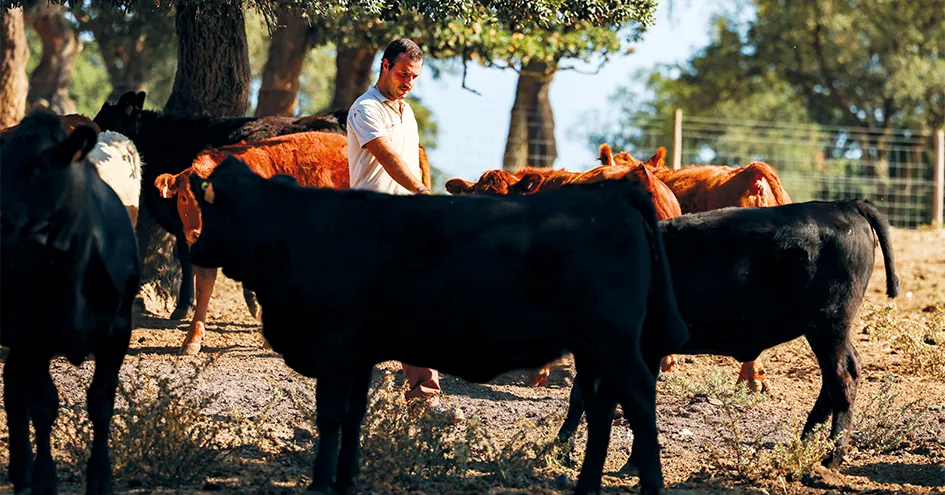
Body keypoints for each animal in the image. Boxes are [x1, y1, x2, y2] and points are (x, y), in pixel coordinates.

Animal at [0, 110, 139, 494]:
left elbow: (102, 402)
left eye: (38, 168)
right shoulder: (33, 335)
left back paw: (20, 473)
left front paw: (101, 479)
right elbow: (45, 405)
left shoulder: (118, 331)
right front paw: (45, 480)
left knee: (12, 386)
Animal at [186, 155, 688, 495]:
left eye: (213, 207)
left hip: (615, 343)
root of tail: (627, 191)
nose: (194, 250)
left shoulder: (336, 348)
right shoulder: (358, 355)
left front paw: (321, 484)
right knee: (602, 407)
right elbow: (352, 417)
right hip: (597, 348)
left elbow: (330, 417)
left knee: (636, 399)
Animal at [558, 198, 899, 475]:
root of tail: (843, 205)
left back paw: (830, 459)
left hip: (828, 325)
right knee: (834, 379)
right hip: (827, 330)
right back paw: (803, 446)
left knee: (842, 378)